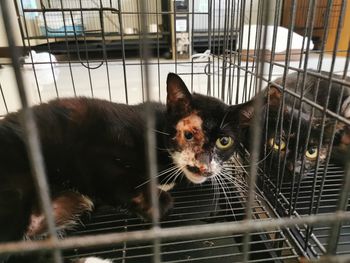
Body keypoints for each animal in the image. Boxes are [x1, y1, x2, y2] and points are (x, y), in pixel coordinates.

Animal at [0, 73, 252, 262]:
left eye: (224, 141)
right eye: (189, 134)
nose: (204, 166)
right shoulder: (94, 154)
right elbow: (153, 199)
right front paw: (151, 203)